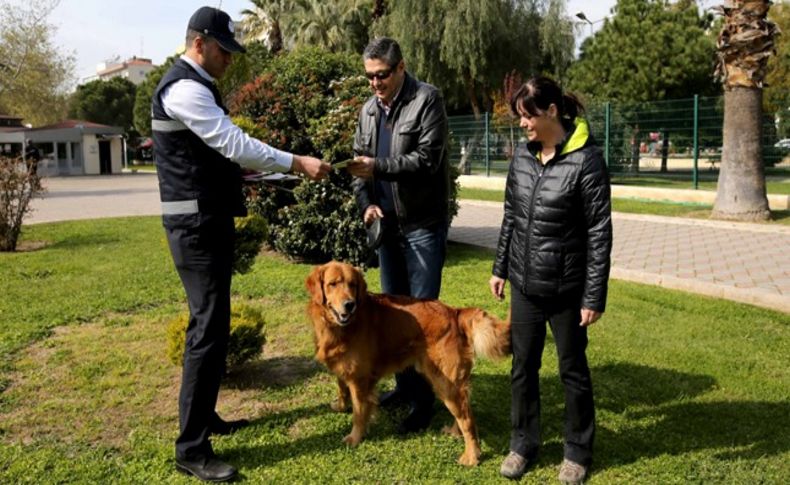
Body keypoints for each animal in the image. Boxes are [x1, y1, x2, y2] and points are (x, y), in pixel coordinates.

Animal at [306, 260, 510, 466]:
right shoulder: (343, 366)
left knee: (467, 418)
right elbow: (341, 388)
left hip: (445, 382)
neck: (338, 326)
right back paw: (455, 432)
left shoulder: (360, 380)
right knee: (464, 409)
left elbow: (359, 413)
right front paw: (340, 406)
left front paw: (355, 437)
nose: (350, 305)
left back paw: (471, 455)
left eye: (352, 285)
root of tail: (455, 312)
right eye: (332, 284)